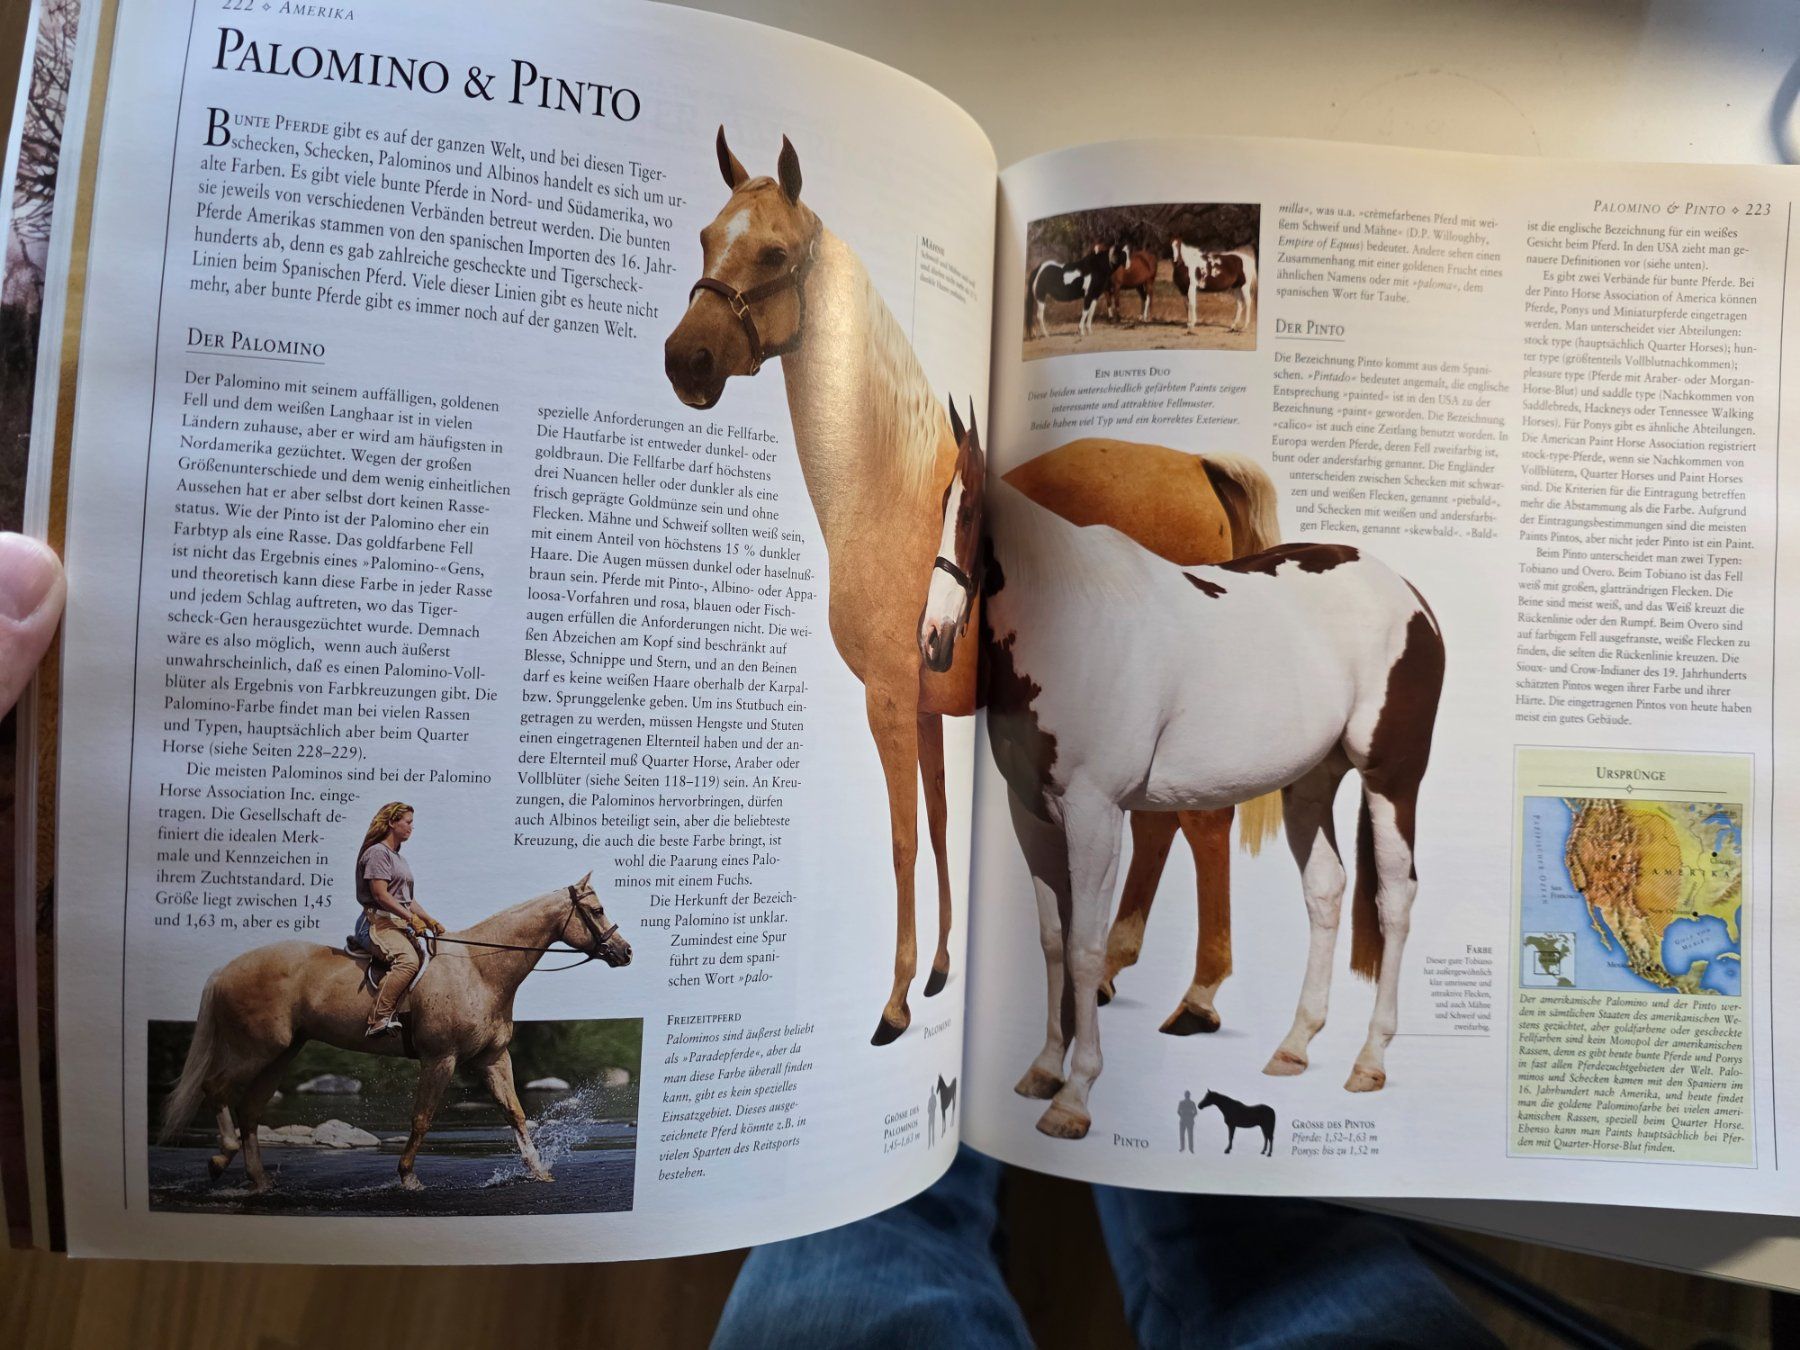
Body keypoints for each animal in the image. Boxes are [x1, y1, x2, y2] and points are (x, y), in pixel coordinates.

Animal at [157, 876, 632, 1192]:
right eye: (595, 910)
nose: (624, 951)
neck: (480, 970)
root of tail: (225, 969)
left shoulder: (493, 1059)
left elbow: (515, 1113)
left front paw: (538, 1170)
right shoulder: (441, 1059)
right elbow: (422, 1118)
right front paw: (407, 1176)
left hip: (282, 1053)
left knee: (250, 1110)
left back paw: (259, 1182)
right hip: (255, 1048)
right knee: (216, 1088)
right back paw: (220, 1159)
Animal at [927, 435, 1286, 1037]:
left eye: (974, 515)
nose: (933, 636)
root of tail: (1197, 464)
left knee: (1203, 822)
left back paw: (1198, 992)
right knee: (1159, 823)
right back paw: (1115, 964)